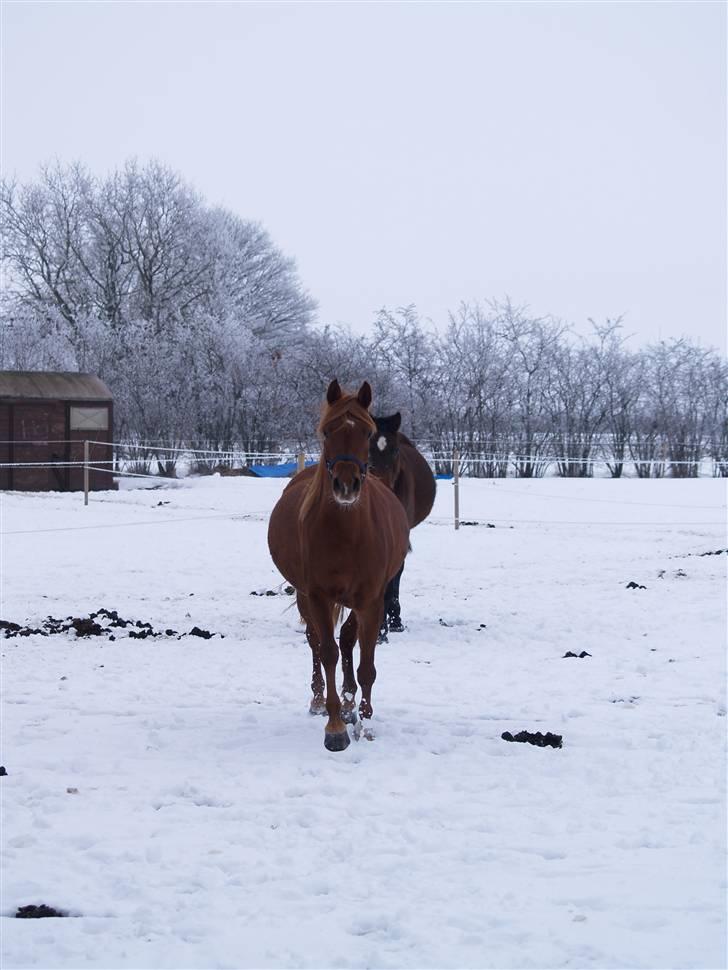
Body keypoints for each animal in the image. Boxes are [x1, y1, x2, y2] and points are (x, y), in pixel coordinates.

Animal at [268, 378, 410, 748]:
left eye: (366, 431)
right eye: (327, 431)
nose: (347, 485)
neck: (346, 533)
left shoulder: (371, 600)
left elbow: (365, 664)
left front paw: (364, 722)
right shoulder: (317, 596)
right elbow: (328, 652)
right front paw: (335, 728)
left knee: (347, 641)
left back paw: (349, 703)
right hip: (305, 597)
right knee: (316, 643)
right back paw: (321, 700)